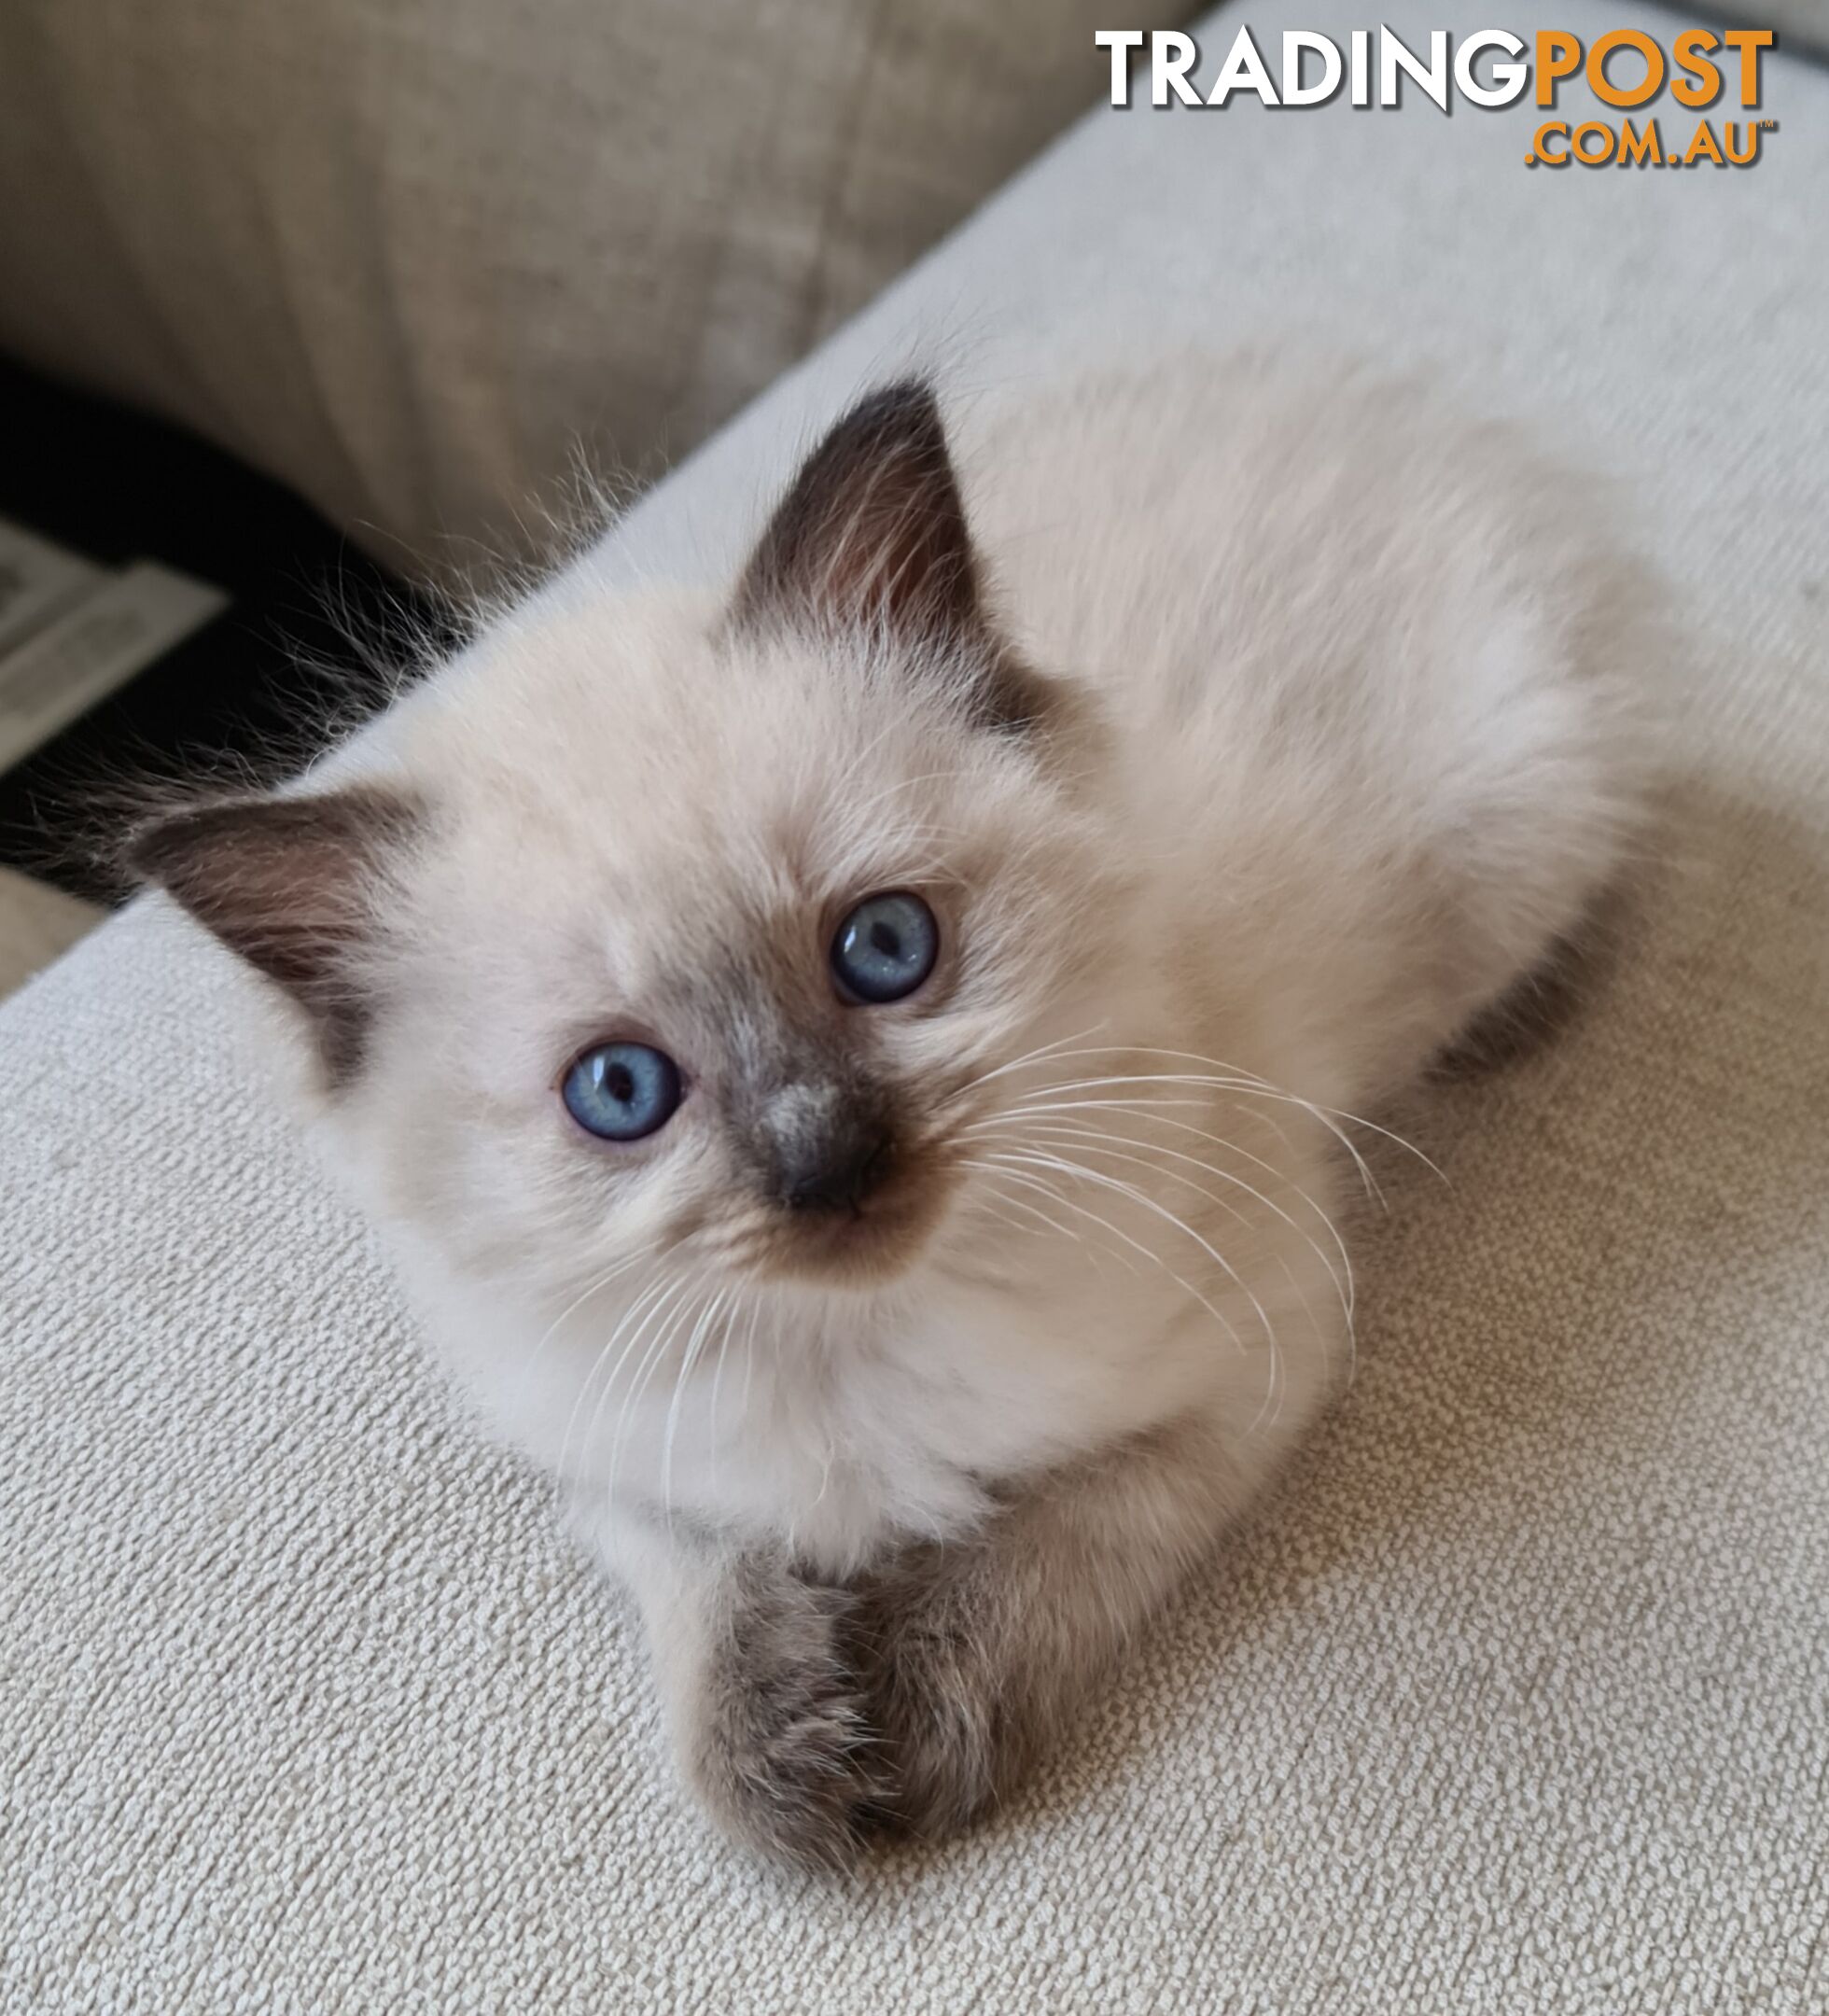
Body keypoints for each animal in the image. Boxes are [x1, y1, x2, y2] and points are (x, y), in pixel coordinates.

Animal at [135, 350, 1653, 1870]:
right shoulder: (611, 1445)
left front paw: (916, 1737)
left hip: (1514, 832)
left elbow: (1042, 1551)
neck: (840, 1352)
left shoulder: (1251, 1357)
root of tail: (1379, 406)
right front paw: (787, 1765)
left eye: (882, 949)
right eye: (620, 1092)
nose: (825, 1161)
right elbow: (706, 1592)